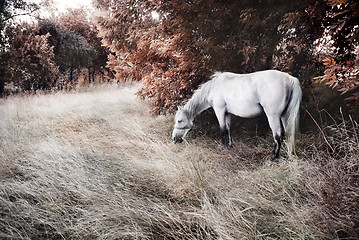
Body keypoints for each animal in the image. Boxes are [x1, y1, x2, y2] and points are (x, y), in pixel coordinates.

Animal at [173, 69, 302, 159]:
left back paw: (273, 158)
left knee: (278, 135)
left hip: (273, 116)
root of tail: (290, 78)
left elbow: (222, 130)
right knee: (289, 133)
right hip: (284, 116)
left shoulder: (219, 111)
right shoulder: (227, 113)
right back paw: (287, 155)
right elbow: (228, 129)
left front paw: (223, 149)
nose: (174, 139)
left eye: (179, 120)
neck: (214, 87)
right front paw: (230, 146)